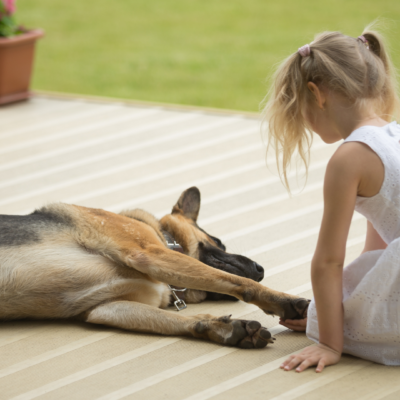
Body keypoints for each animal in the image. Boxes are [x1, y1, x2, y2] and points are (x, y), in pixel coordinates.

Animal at [0, 187, 310, 346]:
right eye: (220, 242)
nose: (260, 268)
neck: (166, 238)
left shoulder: (106, 308)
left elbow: (177, 320)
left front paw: (221, 328)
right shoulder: (149, 253)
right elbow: (238, 282)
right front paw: (284, 301)